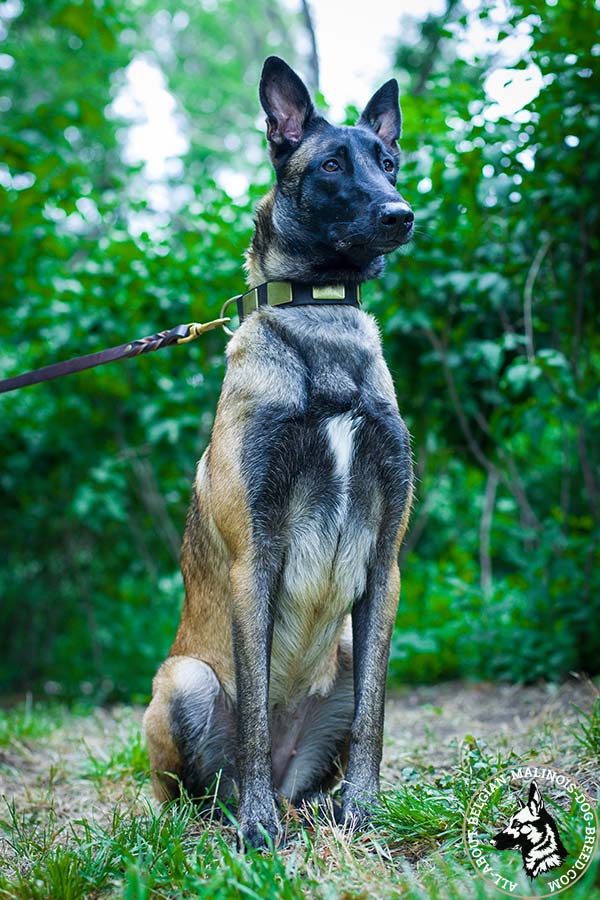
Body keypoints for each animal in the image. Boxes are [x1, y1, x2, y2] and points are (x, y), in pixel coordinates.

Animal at [144, 56, 414, 852]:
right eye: (331, 164)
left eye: (388, 161)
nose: (401, 214)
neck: (319, 317)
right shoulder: (253, 560)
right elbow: (257, 712)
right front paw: (258, 831)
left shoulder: (386, 564)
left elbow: (375, 715)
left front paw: (364, 811)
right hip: (185, 682)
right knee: (205, 784)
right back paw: (236, 814)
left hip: (344, 656)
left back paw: (312, 808)